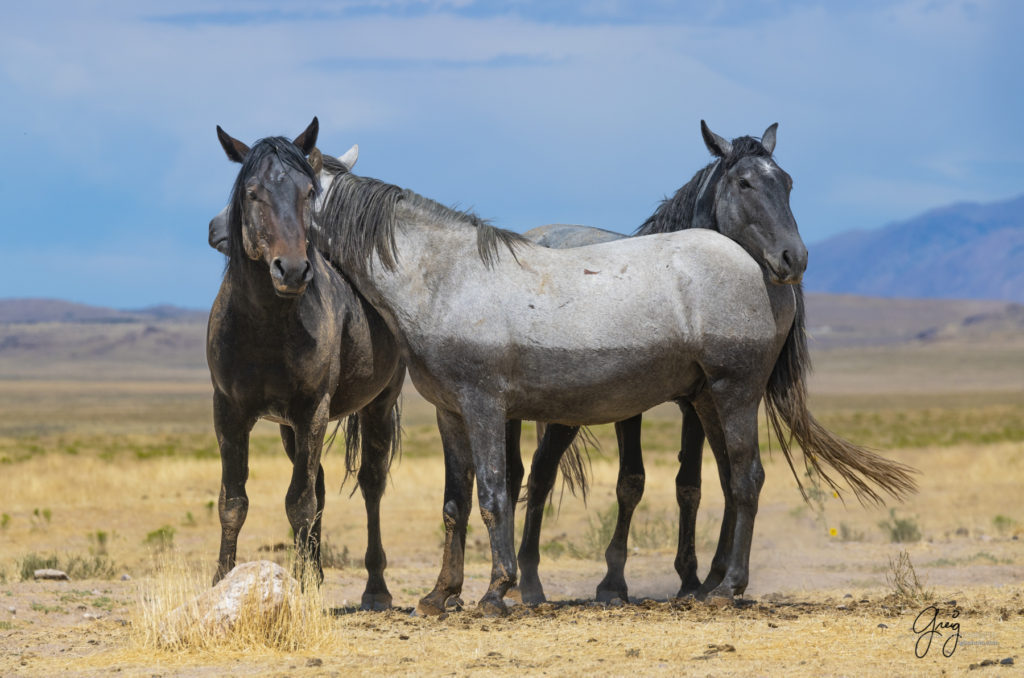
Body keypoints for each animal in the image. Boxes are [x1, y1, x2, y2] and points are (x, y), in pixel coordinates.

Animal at [206, 119, 403, 614]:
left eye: (307, 192)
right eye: (252, 192)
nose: (292, 270)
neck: (264, 329)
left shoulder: (312, 409)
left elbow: (298, 503)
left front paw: (300, 590)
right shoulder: (230, 413)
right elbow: (233, 500)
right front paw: (223, 581)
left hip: (375, 406)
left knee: (370, 484)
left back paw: (376, 588)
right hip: (290, 430)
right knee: (320, 489)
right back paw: (314, 575)